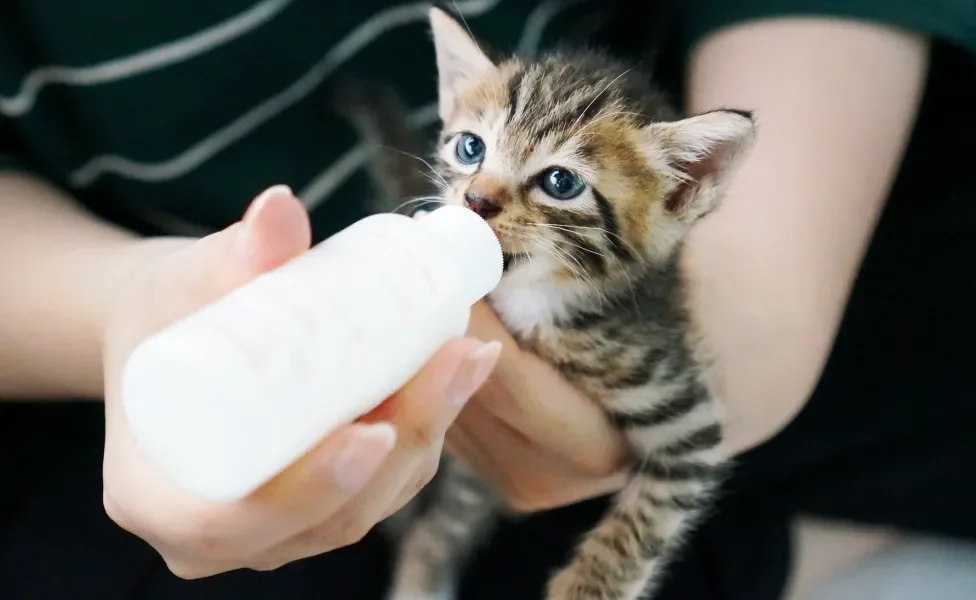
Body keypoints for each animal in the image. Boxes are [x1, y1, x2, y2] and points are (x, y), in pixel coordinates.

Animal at [340, 7, 760, 596]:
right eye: (470, 148)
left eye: (560, 182)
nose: (476, 199)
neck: (534, 302)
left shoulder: (686, 421)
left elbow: (644, 519)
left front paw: (587, 586)